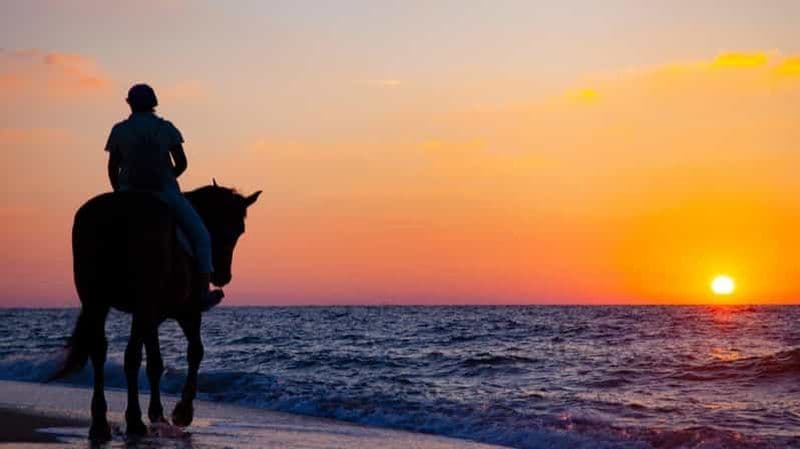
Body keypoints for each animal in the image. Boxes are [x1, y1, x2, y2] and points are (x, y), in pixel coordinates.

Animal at [49, 182, 261, 441]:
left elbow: (154, 363)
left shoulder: (152, 316)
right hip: (140, 302)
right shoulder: (187, 312)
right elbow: (195, 352)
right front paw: (182, 412)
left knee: (100, 351)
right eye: (238, 230)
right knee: (130, 356)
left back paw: (101, 423)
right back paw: (133, 421)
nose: (222, 275)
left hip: (97, 302)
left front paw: (157, 413)